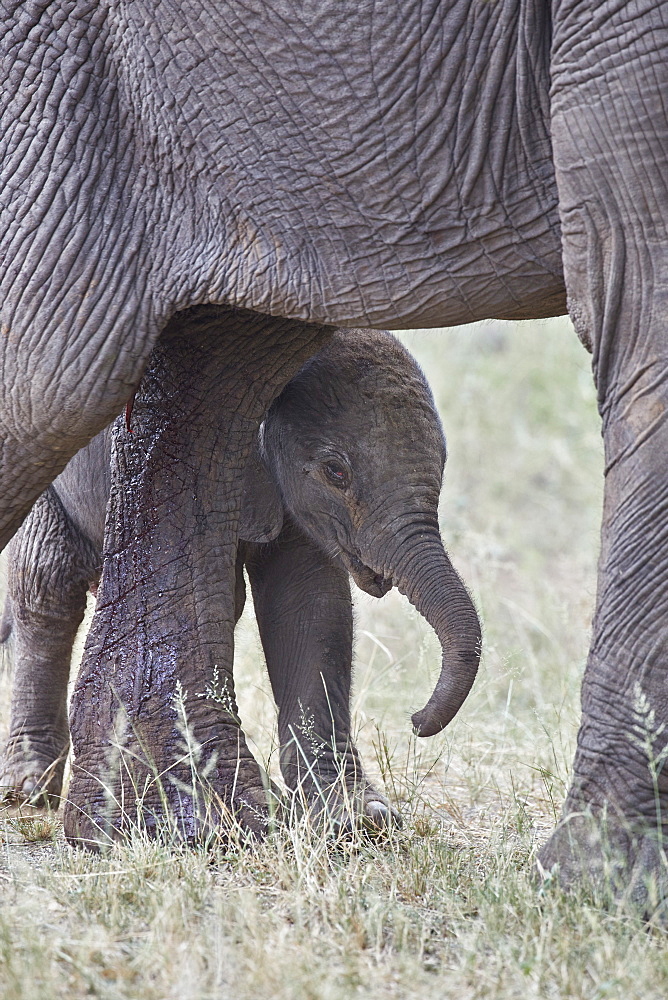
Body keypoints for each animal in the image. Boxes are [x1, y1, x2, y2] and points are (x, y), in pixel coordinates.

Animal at [0, 330, 480, 836]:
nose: (416, 721)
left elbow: (310, 606)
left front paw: (358, 818)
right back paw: (29, 789)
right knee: (46, 590)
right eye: (336, 472)